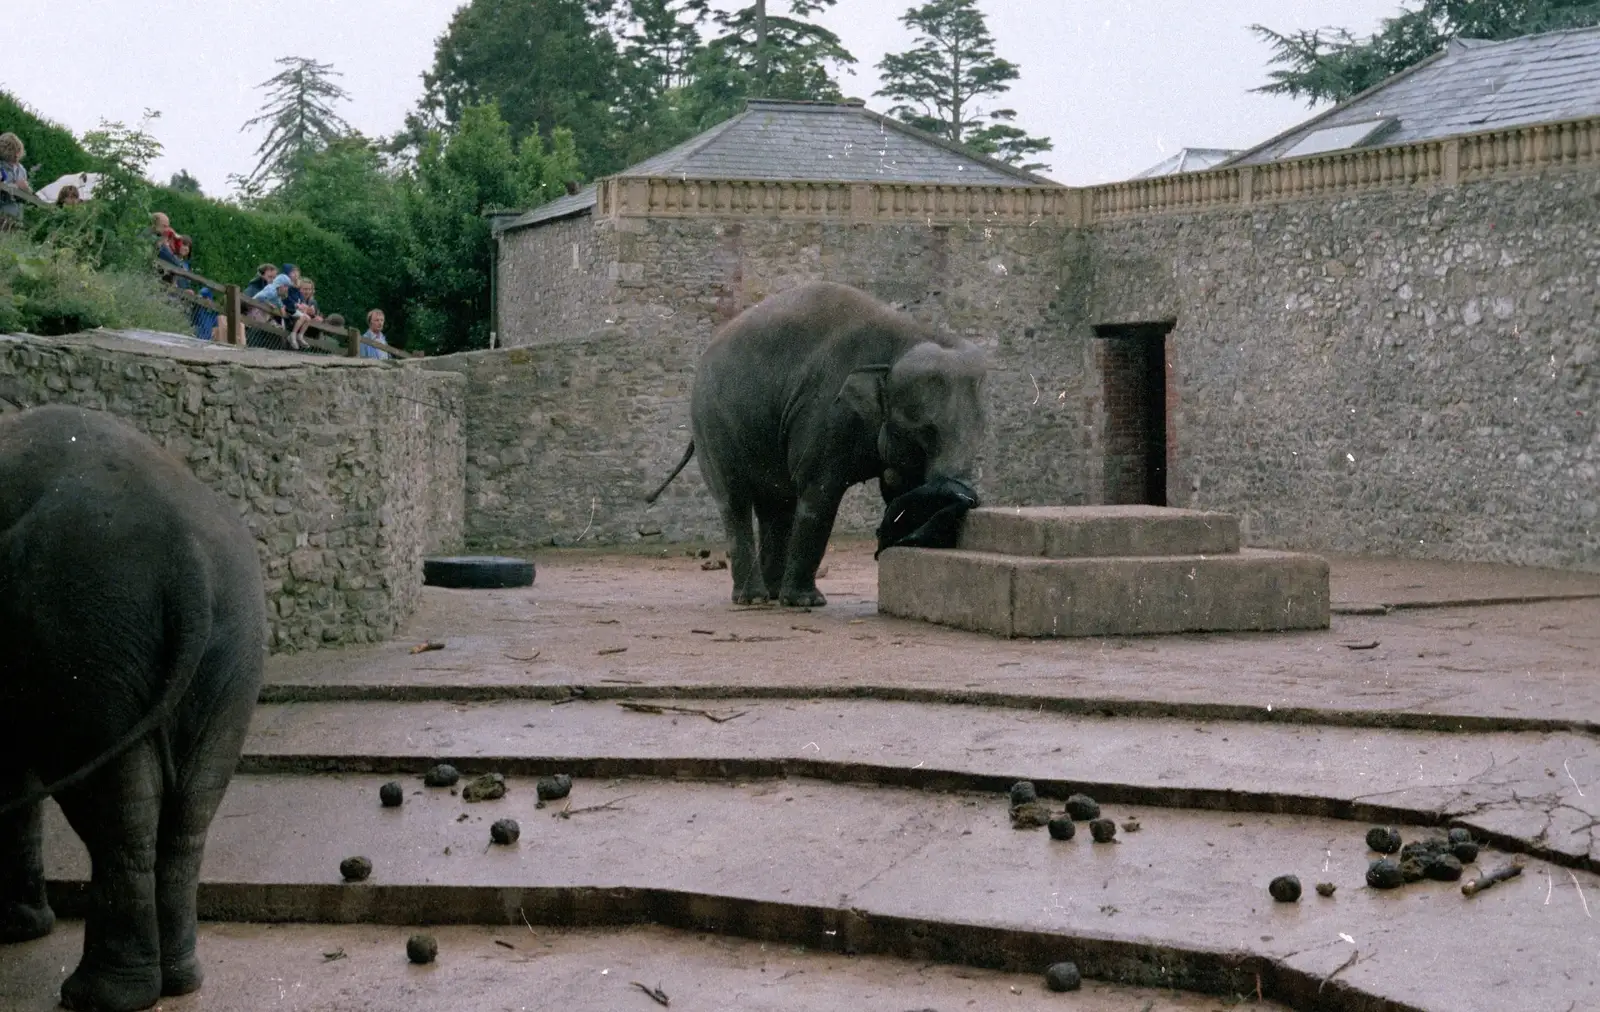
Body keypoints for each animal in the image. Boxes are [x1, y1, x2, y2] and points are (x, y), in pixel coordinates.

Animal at [0, 405, 266, 1012]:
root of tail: (187, 556)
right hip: (230, 643)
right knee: (189, 809)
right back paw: (178, 982)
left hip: (86, 628)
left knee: (113, 809)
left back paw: (97, 996)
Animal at [647, 281, 988, 607]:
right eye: (925, 431)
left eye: (981, 432)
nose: (965, 497)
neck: (910, 334)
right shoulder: (824, 410)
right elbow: (820, 493)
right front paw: (807, 602)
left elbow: (900, 489)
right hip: (713, 424)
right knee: (735, 500)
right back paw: (753, 598)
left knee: (777, 505)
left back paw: (773, 595)